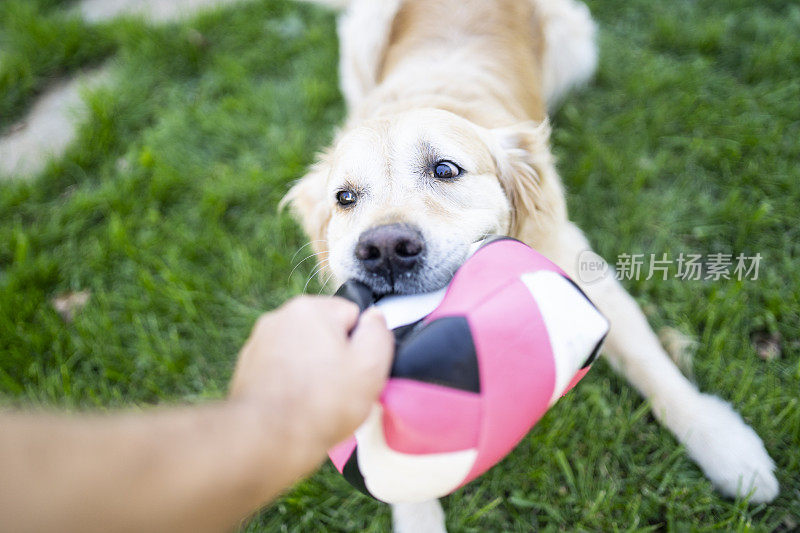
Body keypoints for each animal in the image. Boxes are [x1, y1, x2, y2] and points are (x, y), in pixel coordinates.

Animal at [282, 0, 776, 528]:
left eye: (445, 169)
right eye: (345, 198)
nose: (385, 249)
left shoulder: (577, 262)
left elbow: (650, 362)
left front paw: (724, 446)